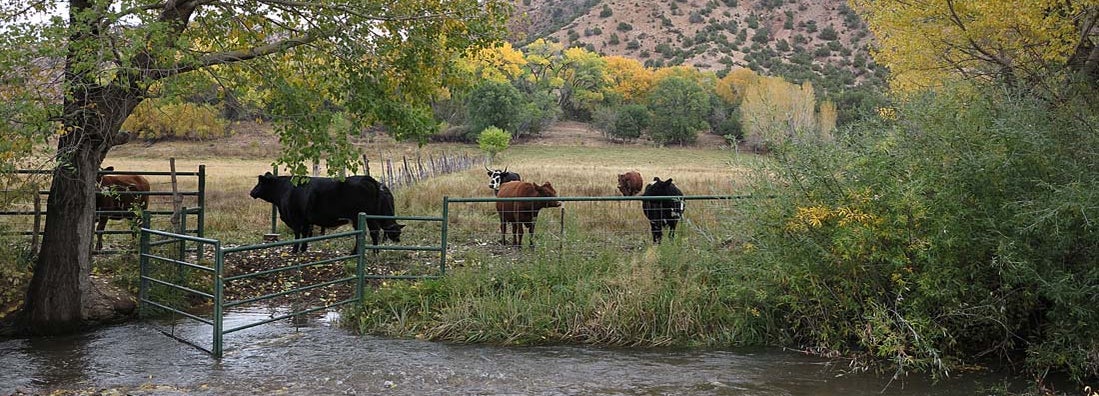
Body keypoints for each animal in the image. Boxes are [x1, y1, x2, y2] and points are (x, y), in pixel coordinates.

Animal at [249, 173, 404, 254]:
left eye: (260, 183)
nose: (251, 192)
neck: (286, 189)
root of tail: (367, 178)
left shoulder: (296, 218)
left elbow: (298, 234)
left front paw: (295, 249)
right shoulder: (306, 220)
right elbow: (306, 234)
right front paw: (303, 249)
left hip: (360, 216)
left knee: (370, 232)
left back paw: (362, 251)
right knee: (372, 232)